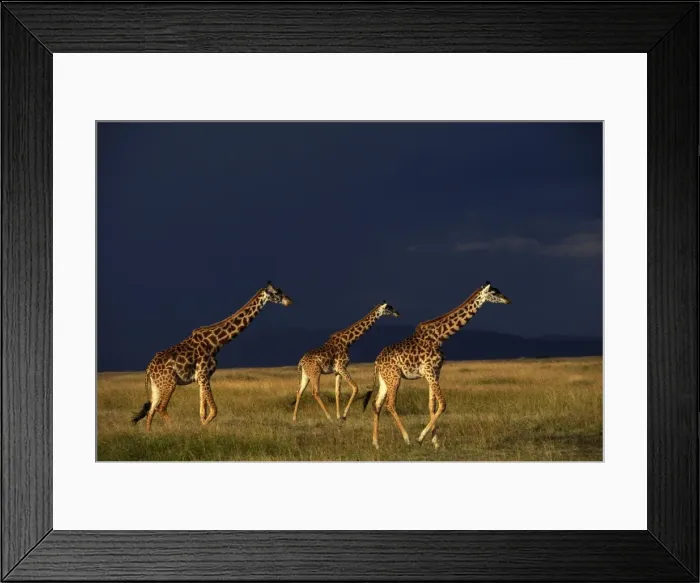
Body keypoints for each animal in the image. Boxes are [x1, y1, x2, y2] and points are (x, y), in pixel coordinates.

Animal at [131, 282, 292, 432]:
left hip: (157, 386)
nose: (289, 301)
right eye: (277, 292)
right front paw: (201, 429)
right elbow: (214, 410)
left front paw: (202, 428)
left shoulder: (201, 378)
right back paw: (174, 429)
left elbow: (202, 412)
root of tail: (148, 369)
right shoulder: (203, 375)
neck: (216, 343)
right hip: (169, 383)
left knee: (151, 411)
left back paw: (149, 434)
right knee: (160, 408)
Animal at [367, 282, 511, 449]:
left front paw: (435, 442)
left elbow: (432, 405)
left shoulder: (435, 372)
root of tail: (377, 361)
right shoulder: (429, 370)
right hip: (394, 377)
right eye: (494, 292)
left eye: (498, 290)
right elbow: (443, 404)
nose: (508, 300)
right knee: (390, 404)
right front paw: (421, 438)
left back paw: (376, 443)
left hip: (385, 379)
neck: (440, 336)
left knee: (377, 404)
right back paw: (406, 438)